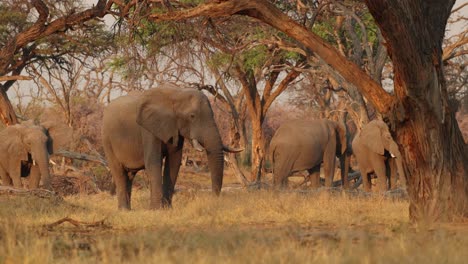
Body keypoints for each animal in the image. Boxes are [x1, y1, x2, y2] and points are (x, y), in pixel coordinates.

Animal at [102, 83, 241, 210]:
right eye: (192, 116)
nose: (214, 199)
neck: (176, 93)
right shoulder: (147, 129)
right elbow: (153, 161)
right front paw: (156, 210)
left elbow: (174, 161)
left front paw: (167, 209)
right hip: (107, 141)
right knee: (119, 173)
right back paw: (124, 210)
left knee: (130, 175)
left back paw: (128, 210)